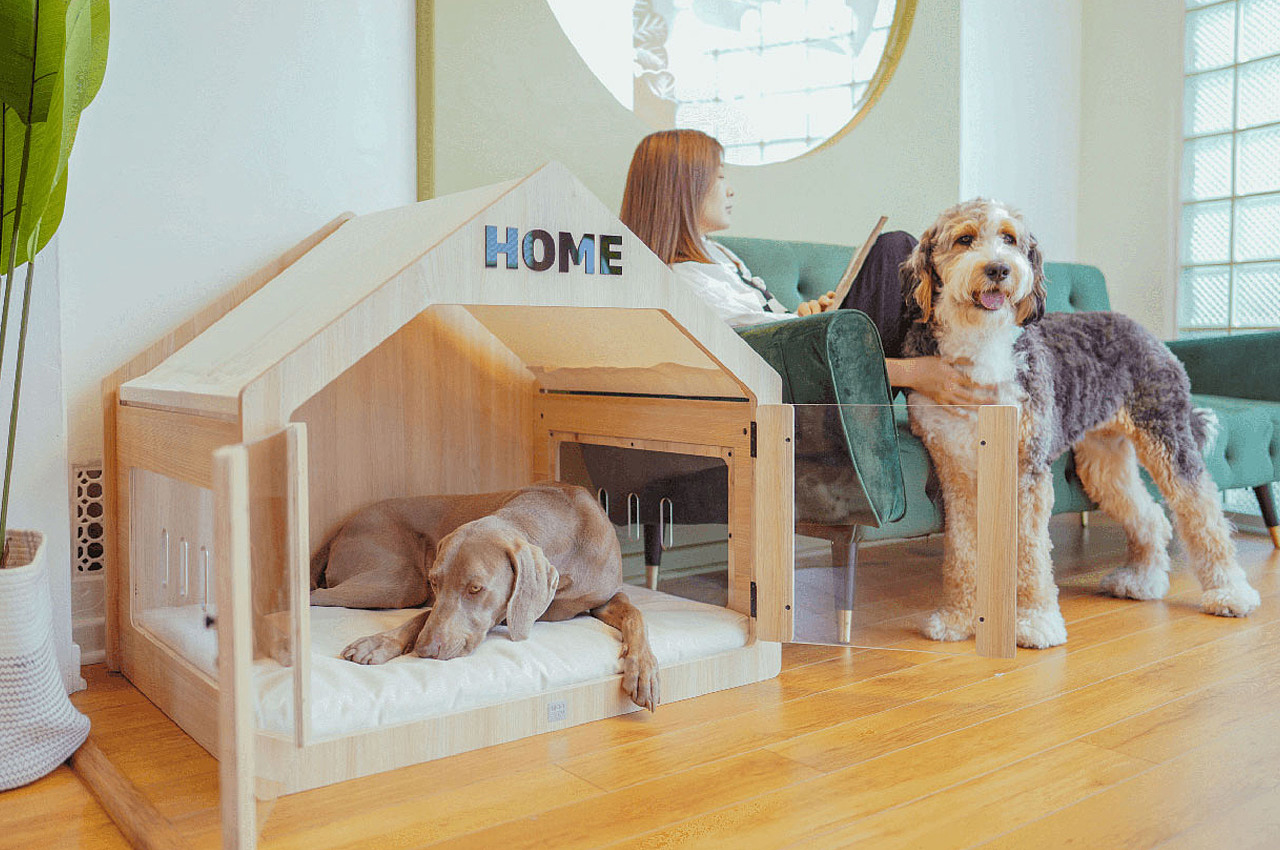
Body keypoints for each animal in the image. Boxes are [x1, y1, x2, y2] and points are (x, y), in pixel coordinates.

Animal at [309, 483, 660, 711]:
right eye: (436, 582)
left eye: (475, 588)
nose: (425, 650)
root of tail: (342, 528)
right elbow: (424, 616)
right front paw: (378, 643)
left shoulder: (606, 597)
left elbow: (636, 614)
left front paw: (643, 670)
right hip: (399, 582)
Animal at [901, 200, 1259, 650]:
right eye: (965, 239)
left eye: (1009, 239)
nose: (999, 269)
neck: (981, 344)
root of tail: (1145, 331)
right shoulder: (957, 469)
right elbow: (963, 549)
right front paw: (957, 619)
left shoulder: (1028, 469)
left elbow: (1031, 551)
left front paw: (1036, 622)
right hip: (1104, 462)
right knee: (1151, 517)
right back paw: (1142, 581)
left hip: (1168, 437)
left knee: (1204, 511)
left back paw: (1230, 593)